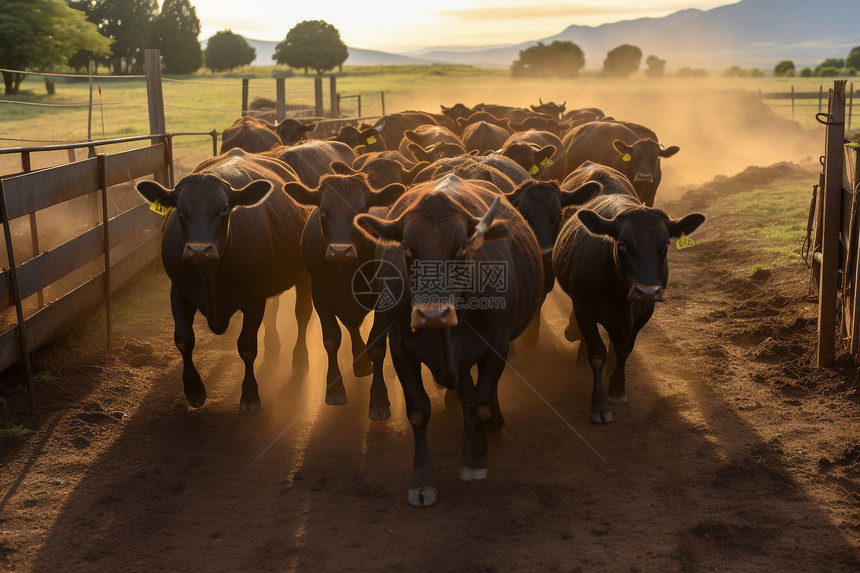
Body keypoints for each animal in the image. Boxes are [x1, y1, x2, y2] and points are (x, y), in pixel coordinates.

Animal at [138, 150, 316, 412]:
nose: (199, 249)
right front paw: (193, 389)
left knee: (302, 314)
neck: (210, 274)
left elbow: (247, 346)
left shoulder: (254, 297)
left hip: (303, 275)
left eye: (224, 209)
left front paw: (250, 394)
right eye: (179, 209)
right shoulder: (178, 290)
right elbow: (184, 340)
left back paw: (300, 361)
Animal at [352, 174, 540, 504]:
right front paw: (422, 481)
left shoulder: (497, 343)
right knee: (464, 388)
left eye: (463, 246)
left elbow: (482, 402)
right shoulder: (401, 348)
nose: (432, 315)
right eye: (406, 247)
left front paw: (475, 461)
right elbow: (418, 410)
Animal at [552, 194, 704, 422]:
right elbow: (597, 354)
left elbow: (624, 350)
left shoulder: (644, 313)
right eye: (622, 244)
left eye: (666, 244)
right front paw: (600, 404)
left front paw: (617, 388)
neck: (619, 295)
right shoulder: (583, 307)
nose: (647, 291)